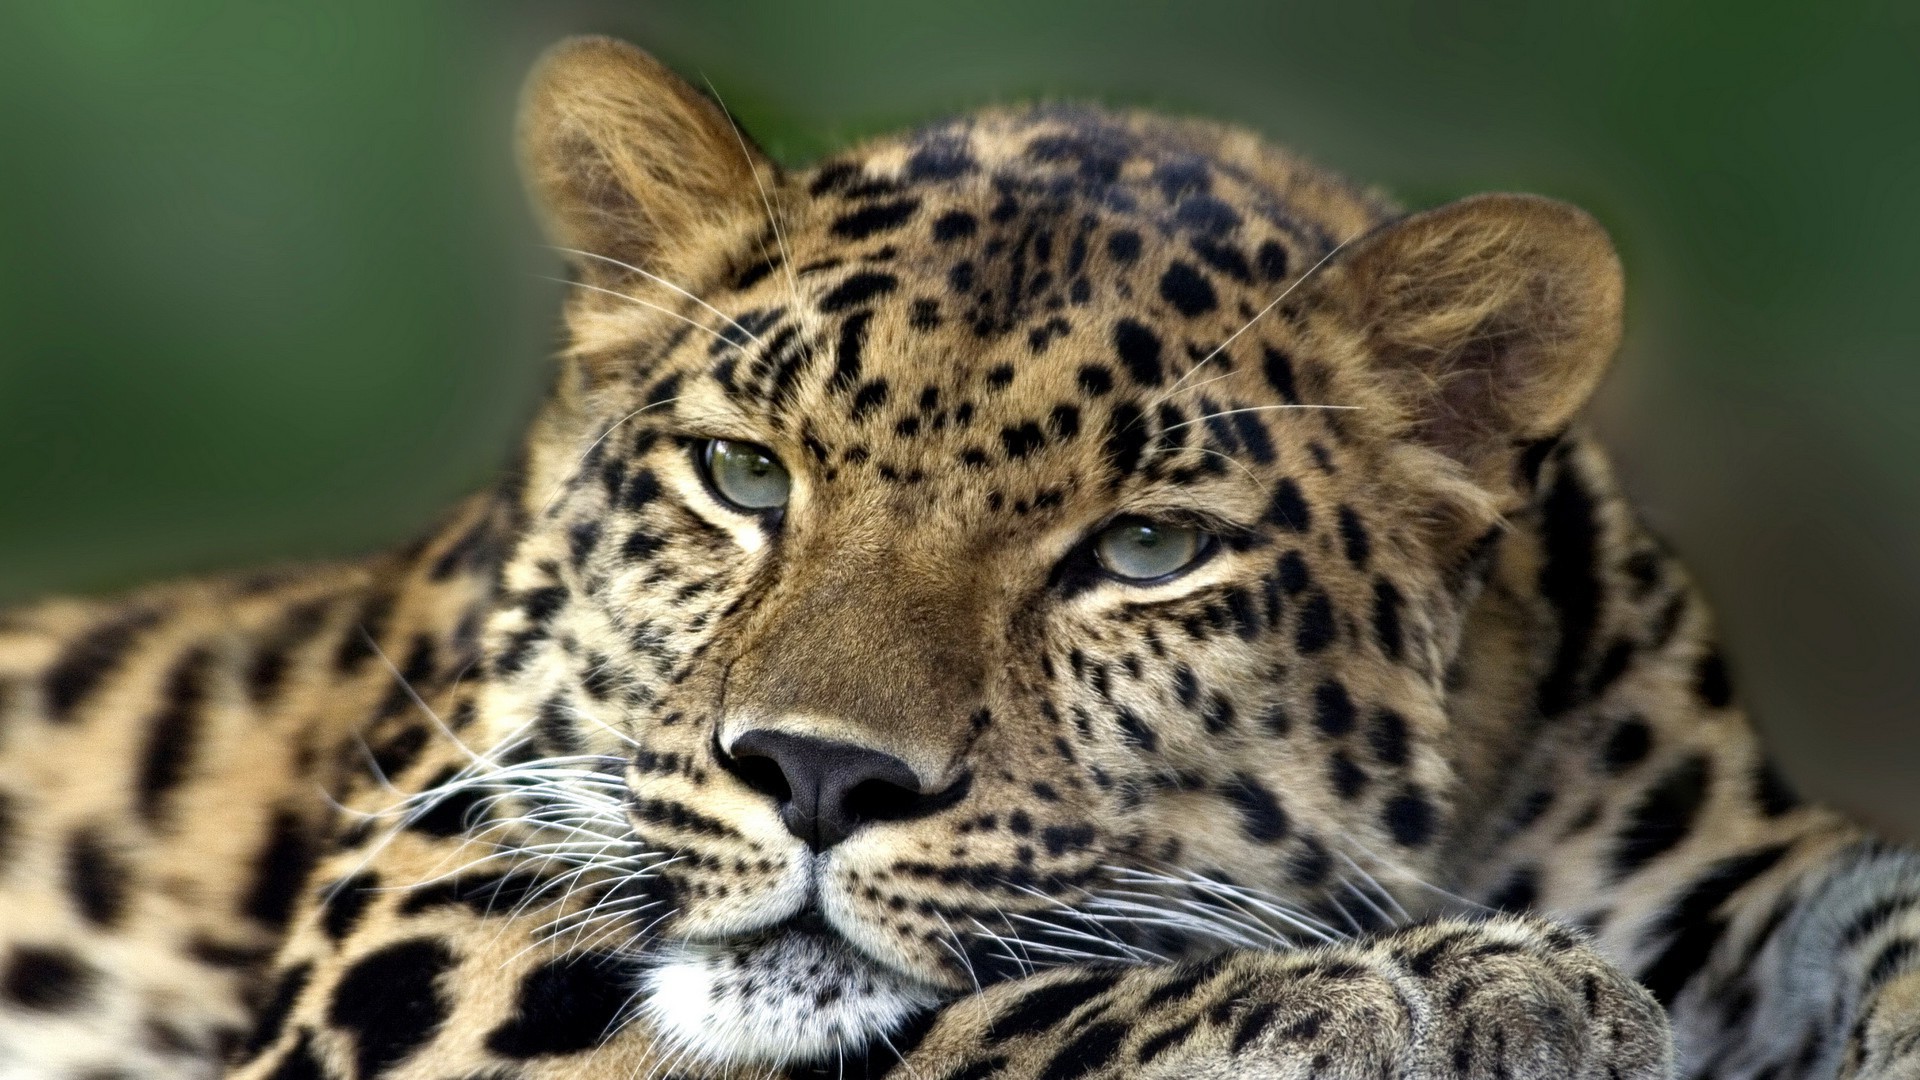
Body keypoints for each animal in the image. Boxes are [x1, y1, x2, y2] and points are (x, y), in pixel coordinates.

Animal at [3, 35, 1920, 1076]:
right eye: (742, 475)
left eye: (1143, 551)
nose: (815, 776)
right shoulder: (427, 933)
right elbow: (952, 1024)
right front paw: (1442, 995)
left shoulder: (1723, 856)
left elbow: (1875, 906)